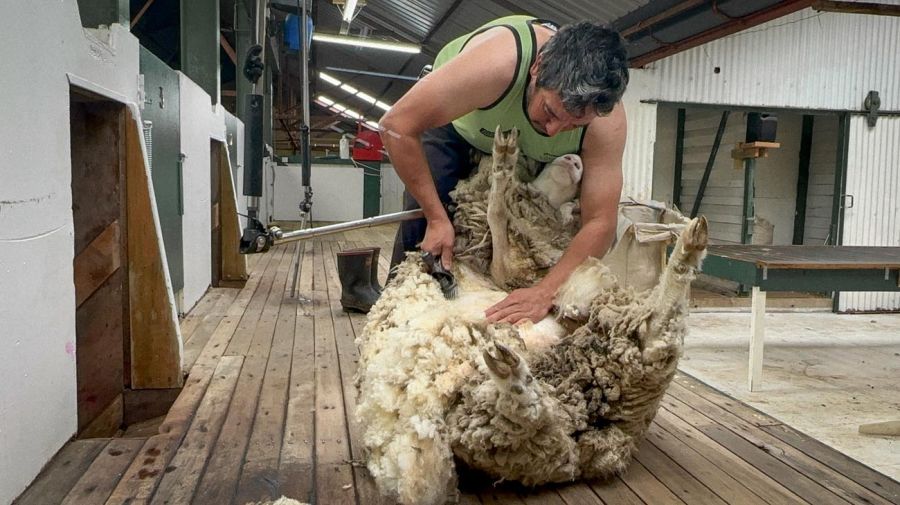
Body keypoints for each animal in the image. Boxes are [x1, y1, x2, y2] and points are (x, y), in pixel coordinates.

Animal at [356, 127, 708, 504]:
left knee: (656, 332)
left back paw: (689, 243)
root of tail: (579, 446)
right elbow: (497, 217)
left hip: (610, 364)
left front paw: (504, 166)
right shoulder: (508, 270)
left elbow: (498, 219)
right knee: (534, 414)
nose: (573, 159)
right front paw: (503, 165)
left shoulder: (513, 274)